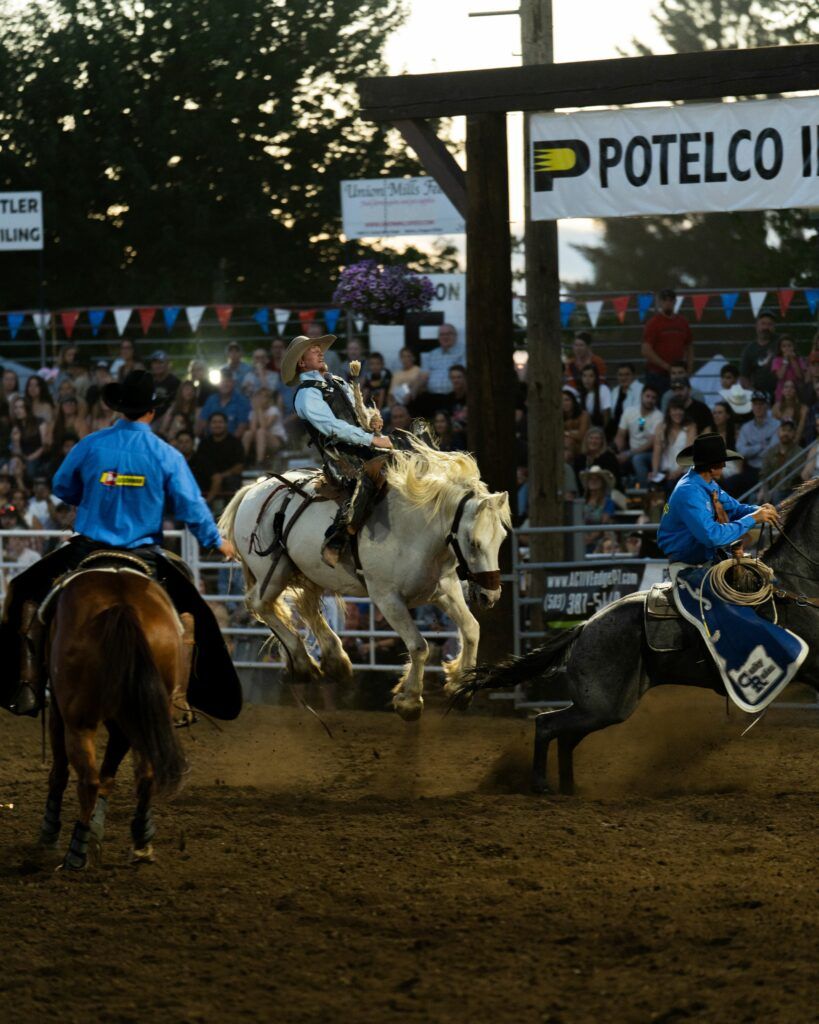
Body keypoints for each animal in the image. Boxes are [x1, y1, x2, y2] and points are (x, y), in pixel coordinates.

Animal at [40, 569, 191, 872]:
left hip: (79, 722)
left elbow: (60, 773)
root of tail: (121, 605)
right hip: (144, 713)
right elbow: (110, 775)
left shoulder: (59, 713)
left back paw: (75, 855)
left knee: (87, 780)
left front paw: (50, 834)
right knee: (146, 776)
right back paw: (142, 844)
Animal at [217, 440, 511, 720]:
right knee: (259, 604)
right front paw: (410, 701)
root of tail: (253, 489)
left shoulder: (444, 589)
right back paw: (302, 664)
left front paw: (461, 688)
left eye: (502, 538)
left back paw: (335, 662)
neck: (416, 530)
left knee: (307, 608)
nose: (490, 595)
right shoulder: (387, 598)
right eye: (474, 542)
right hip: (273, 573)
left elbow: (471, 629)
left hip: (304, 570)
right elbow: (419, 646)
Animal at [454, 479, 818, 790]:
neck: (795, 586)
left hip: (604, 705)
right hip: (603, 704)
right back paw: (542, 785)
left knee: (565, 736)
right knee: (546, 724)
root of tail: (584, 628)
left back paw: (569, 788)